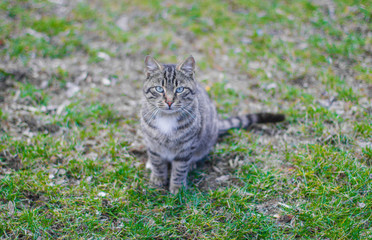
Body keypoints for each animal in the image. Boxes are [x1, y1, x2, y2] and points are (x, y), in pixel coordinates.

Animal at [140, 55, 284, 193]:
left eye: (180, 89)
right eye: (159, 89)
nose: (169, 102)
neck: (167, 118)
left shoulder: (186, 148)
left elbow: (180, 169)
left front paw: (177, 187)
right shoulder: (153, 144)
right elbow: (157, 162)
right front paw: (158, 177)